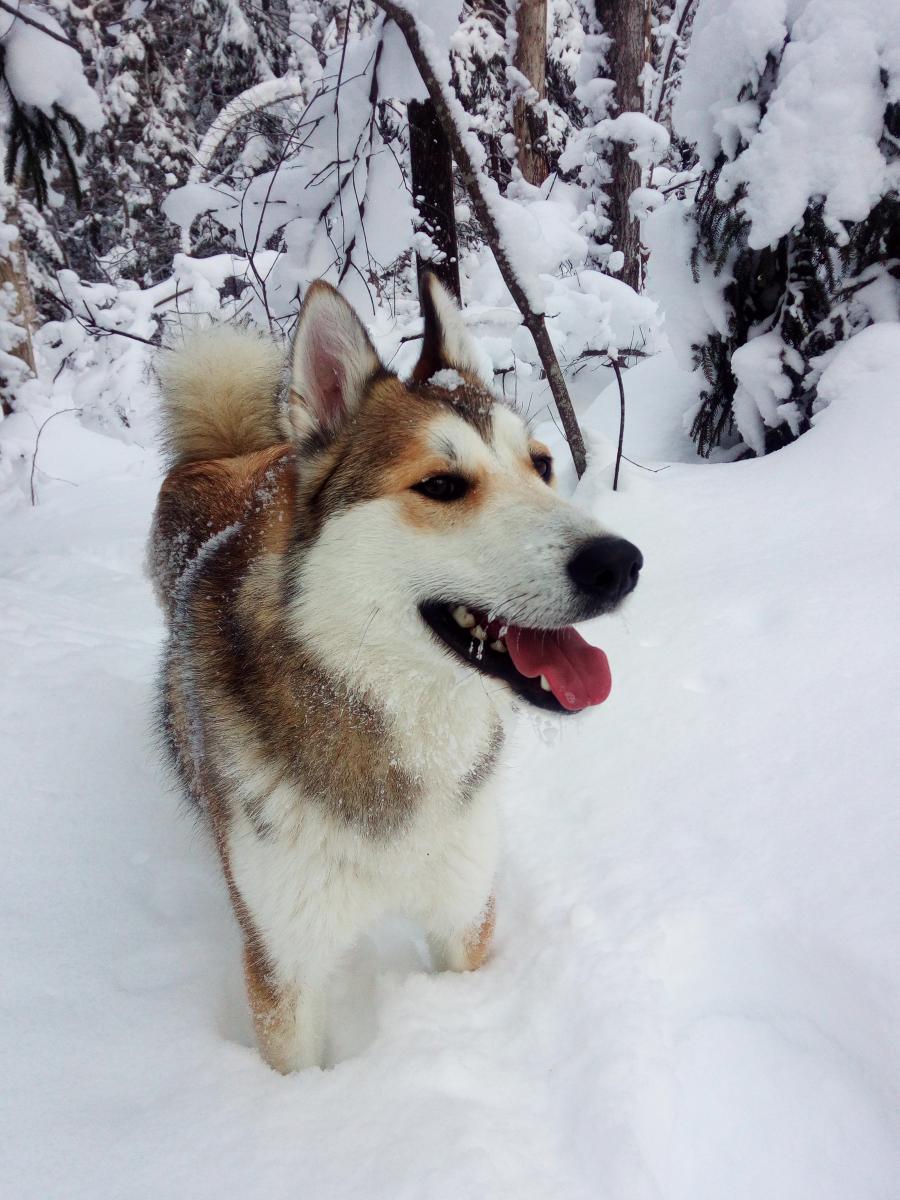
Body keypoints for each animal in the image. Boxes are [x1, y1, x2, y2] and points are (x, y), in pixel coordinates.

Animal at [149, 274, 642, 1072]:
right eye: (441, 486)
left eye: (541, 465)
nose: (620, 563)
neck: (397, 717)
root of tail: (231, 458)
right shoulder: (282, 963)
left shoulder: (464, 912)